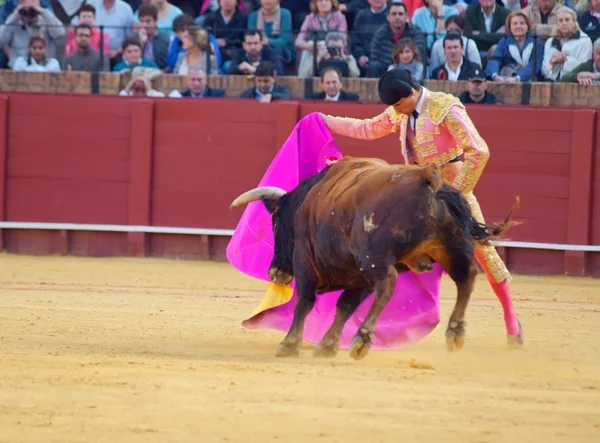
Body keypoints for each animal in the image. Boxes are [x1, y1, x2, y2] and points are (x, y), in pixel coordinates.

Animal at [230, 156, 520, 360]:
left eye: (276, 222)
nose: (275, 273)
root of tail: (429, 178)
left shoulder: (306, 264)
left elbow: (305, 302)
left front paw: (289, 344)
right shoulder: (359, 278)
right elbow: (345, 307)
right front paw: (326, 345)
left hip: (375, 258)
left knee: (389, 283)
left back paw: (363, 338)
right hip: (453, 247)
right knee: (467, 277)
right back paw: (456, 331)